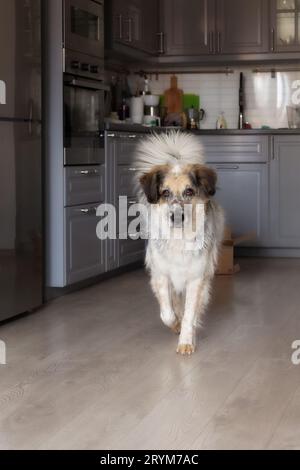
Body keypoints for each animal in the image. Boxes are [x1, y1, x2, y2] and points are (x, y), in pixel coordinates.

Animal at [135, 130, 224, 354]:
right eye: (165, 192)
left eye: (189, 191)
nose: (176, 217)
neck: (179, 238)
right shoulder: (161, 275)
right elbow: (167, 313)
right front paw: (174, 323)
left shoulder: (196, 278)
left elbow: (189, 314)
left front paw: (186, 340)